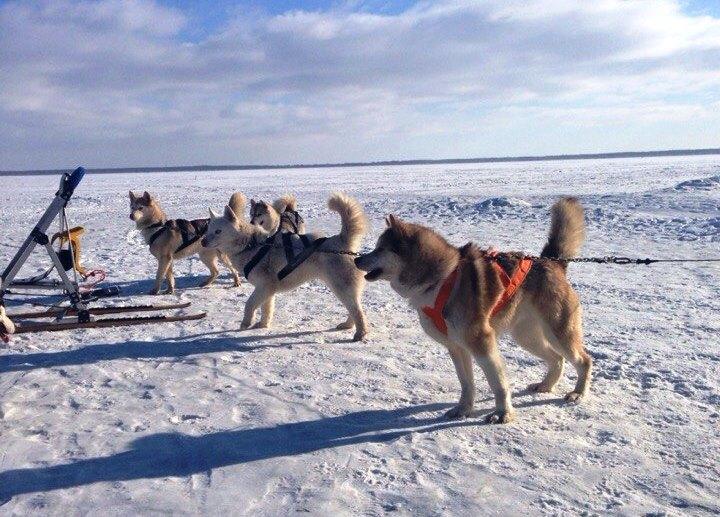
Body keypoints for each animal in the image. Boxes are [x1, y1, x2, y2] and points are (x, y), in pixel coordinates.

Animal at [204, 191, 368, 340]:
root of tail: (341, 240)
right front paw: (262, 325)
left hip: (341, 287)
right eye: (208, 230)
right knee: (355, 309)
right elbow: (266, 309)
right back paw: (348, 326)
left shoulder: (265, 286)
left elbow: (249, 304)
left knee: (358, 311)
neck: (251, 243)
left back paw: (360, 334)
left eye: (218, 231)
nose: (203, 242)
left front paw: (246, 323)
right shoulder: (267, 289)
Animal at [354, 198, 592, 424]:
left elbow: (498, 383)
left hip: (559, 333)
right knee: (557, 359)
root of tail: (552, 262)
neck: (439, 280)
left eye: (380, 248)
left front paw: (503, 414)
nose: (356, 259)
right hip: (527, 337)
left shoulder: (481, 343)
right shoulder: (457, 347)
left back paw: (578, 394)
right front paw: (463, 409)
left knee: (584, 360)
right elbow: (466, 383)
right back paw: (546, 385)